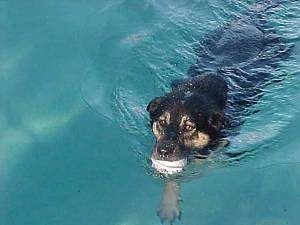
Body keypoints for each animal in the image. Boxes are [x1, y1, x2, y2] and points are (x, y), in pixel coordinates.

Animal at [147, 0, 292, 223]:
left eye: (188, 127)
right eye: (162, 122)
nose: (162, 151)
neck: (196, 90)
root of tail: (251, 20)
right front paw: (169, 203)